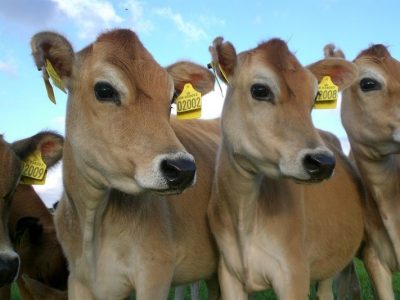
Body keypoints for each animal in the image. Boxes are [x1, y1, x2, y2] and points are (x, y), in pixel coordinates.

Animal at [209, 38, 366, 300]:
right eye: (260, 90)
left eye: (314, 97)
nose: (323, 162)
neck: (244, 214)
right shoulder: (228, 274)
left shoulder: (293, 271)